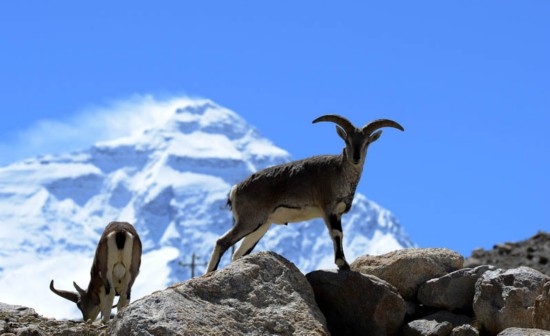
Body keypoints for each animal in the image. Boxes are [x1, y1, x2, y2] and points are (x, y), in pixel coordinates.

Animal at [207, 114, 406, 272]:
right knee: (222, 242)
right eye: (347, 140)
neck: (339, 172)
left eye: (366, 142)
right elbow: (336, 234)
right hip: (249, 220)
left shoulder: (337, 213)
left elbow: (340, 234)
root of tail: (235, 189)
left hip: (261, 225)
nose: (355, 157)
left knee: (238, 253)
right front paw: (342, 263)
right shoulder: (328, 209)